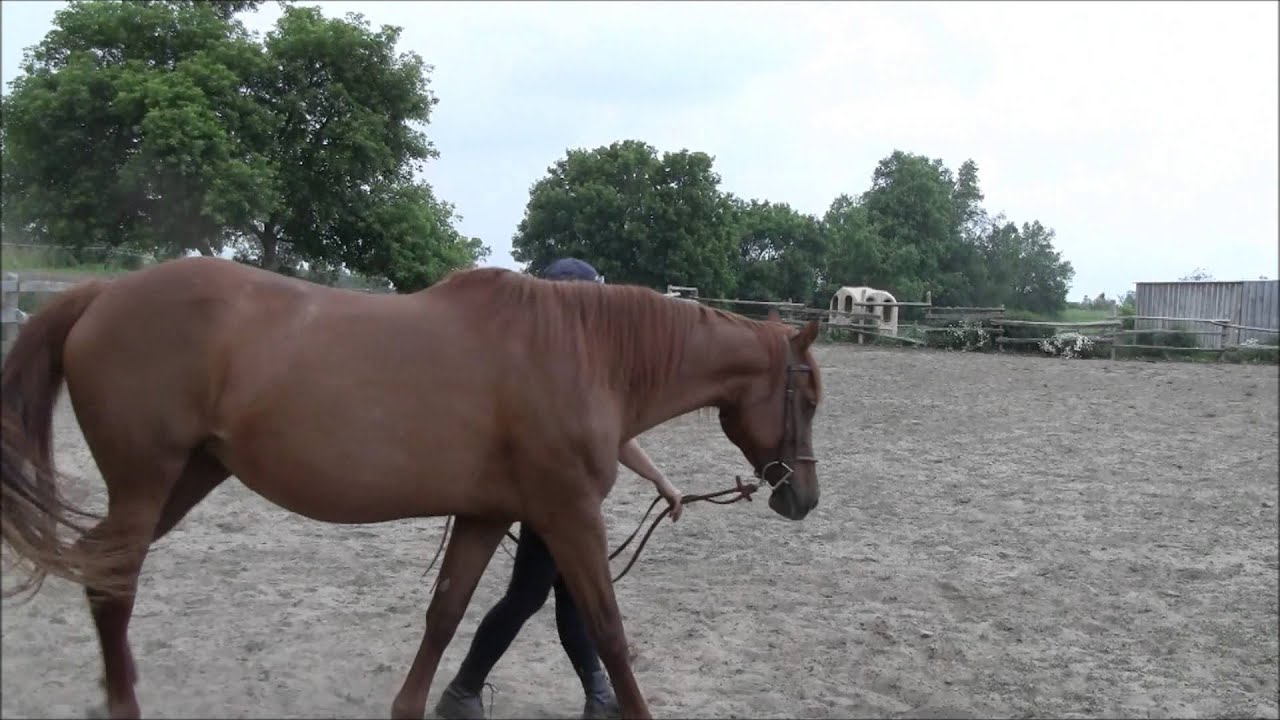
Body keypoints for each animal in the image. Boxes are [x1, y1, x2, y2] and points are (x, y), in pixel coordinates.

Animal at [0, 256, 823, 719]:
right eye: (807, 399)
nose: (804, 498)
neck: (583, 354)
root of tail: (102, 293)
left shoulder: (488, 515)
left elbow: (446, 613)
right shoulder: (569, 516)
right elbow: (608, 632)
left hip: (187, 475)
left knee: (100, 568)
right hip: (147, 481)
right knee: (115, 581)